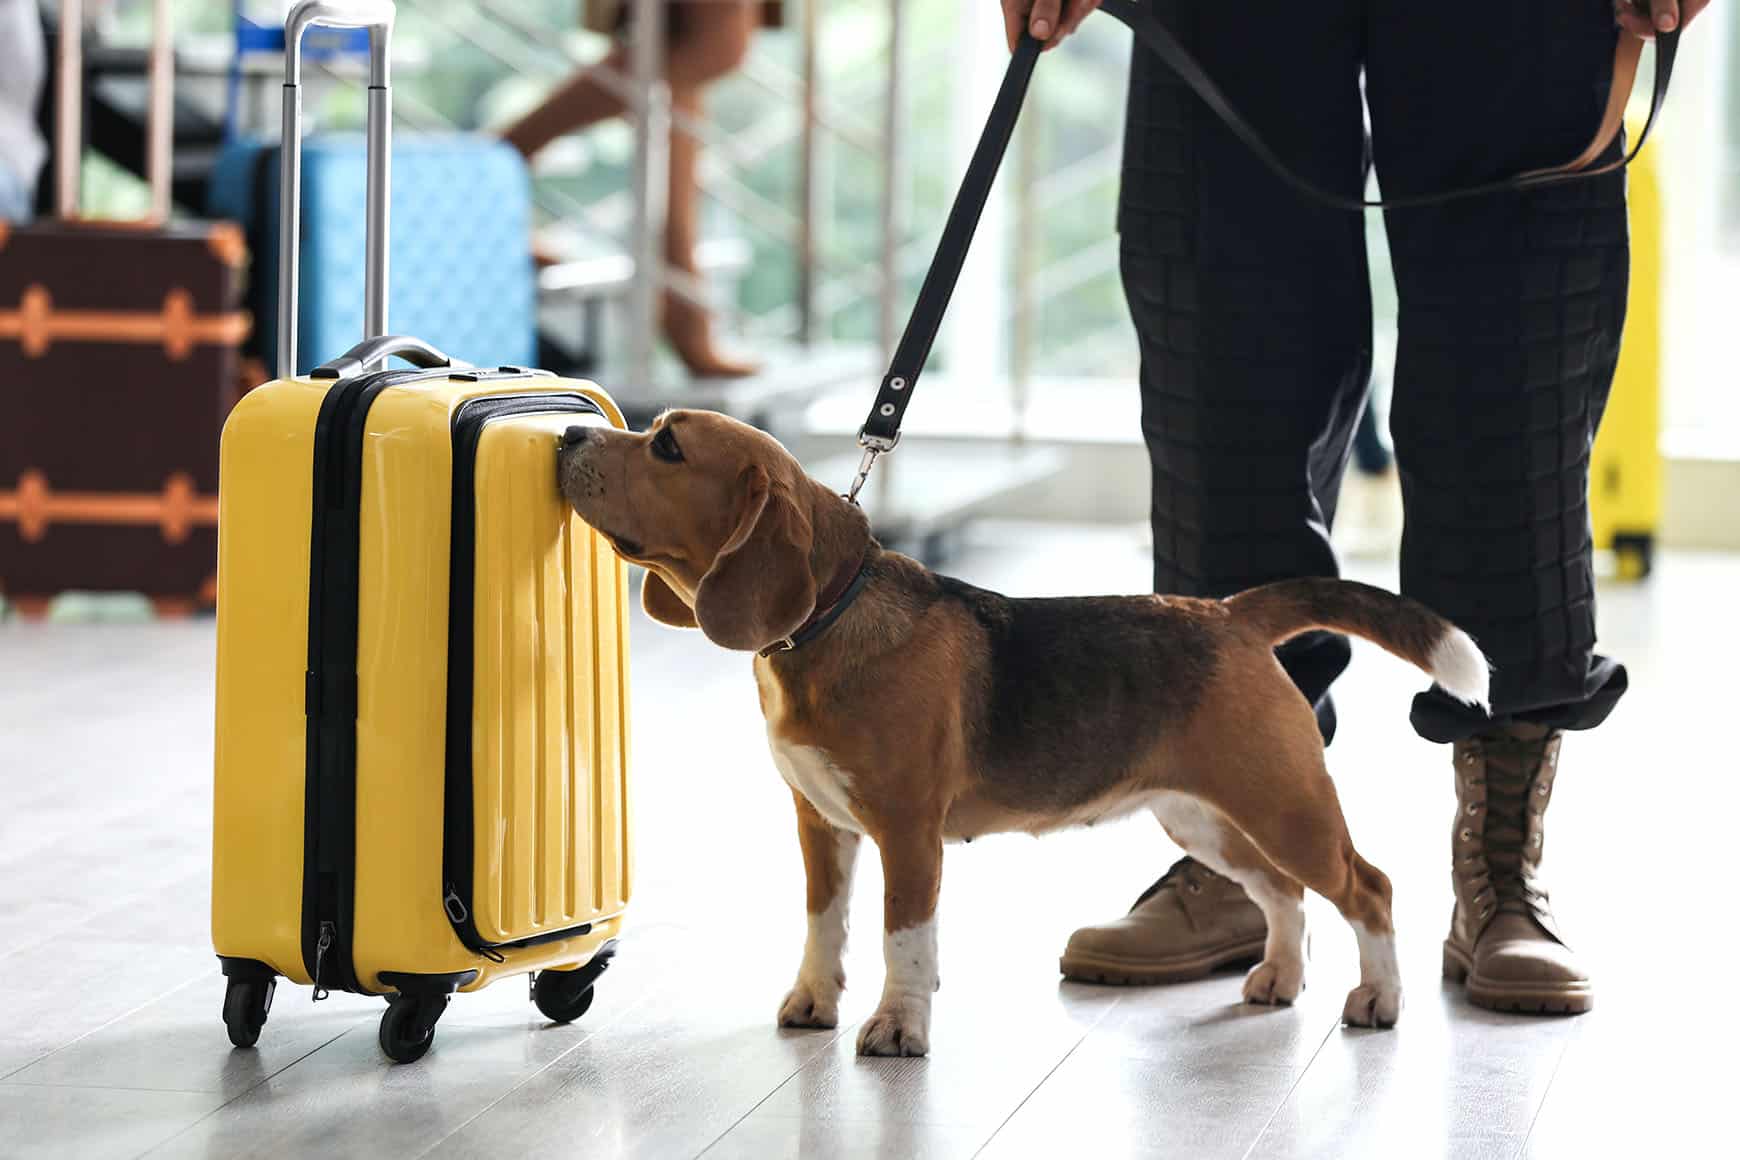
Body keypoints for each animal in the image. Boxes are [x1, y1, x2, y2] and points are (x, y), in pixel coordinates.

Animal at [556, 412, 1482, 1057]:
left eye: (668, 447)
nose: (569, 432)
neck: (830, 619)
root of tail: (1229, 614)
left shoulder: (907, 834)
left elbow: (903, 938)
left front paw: (899, 1027)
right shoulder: (820, 824)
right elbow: (826, 922)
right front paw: (815, 1001)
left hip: (1285, 805)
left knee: (1368, 888)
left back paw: (1380, 1000)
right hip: (1206, 820)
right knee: (1283, 893)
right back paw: (1282, 978)